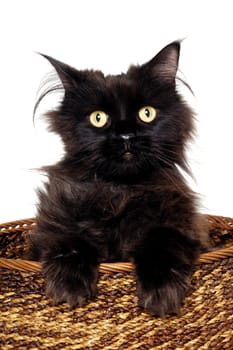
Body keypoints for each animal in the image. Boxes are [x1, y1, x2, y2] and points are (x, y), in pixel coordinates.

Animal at [28, 41, 208, 318]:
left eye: (147, 113)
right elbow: (70, 239)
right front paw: (69, 287)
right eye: (98, 118)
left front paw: (161, 295)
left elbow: (161, 242)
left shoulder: (180, 222)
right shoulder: (55, 219)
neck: (120, 191)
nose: (126, 136)